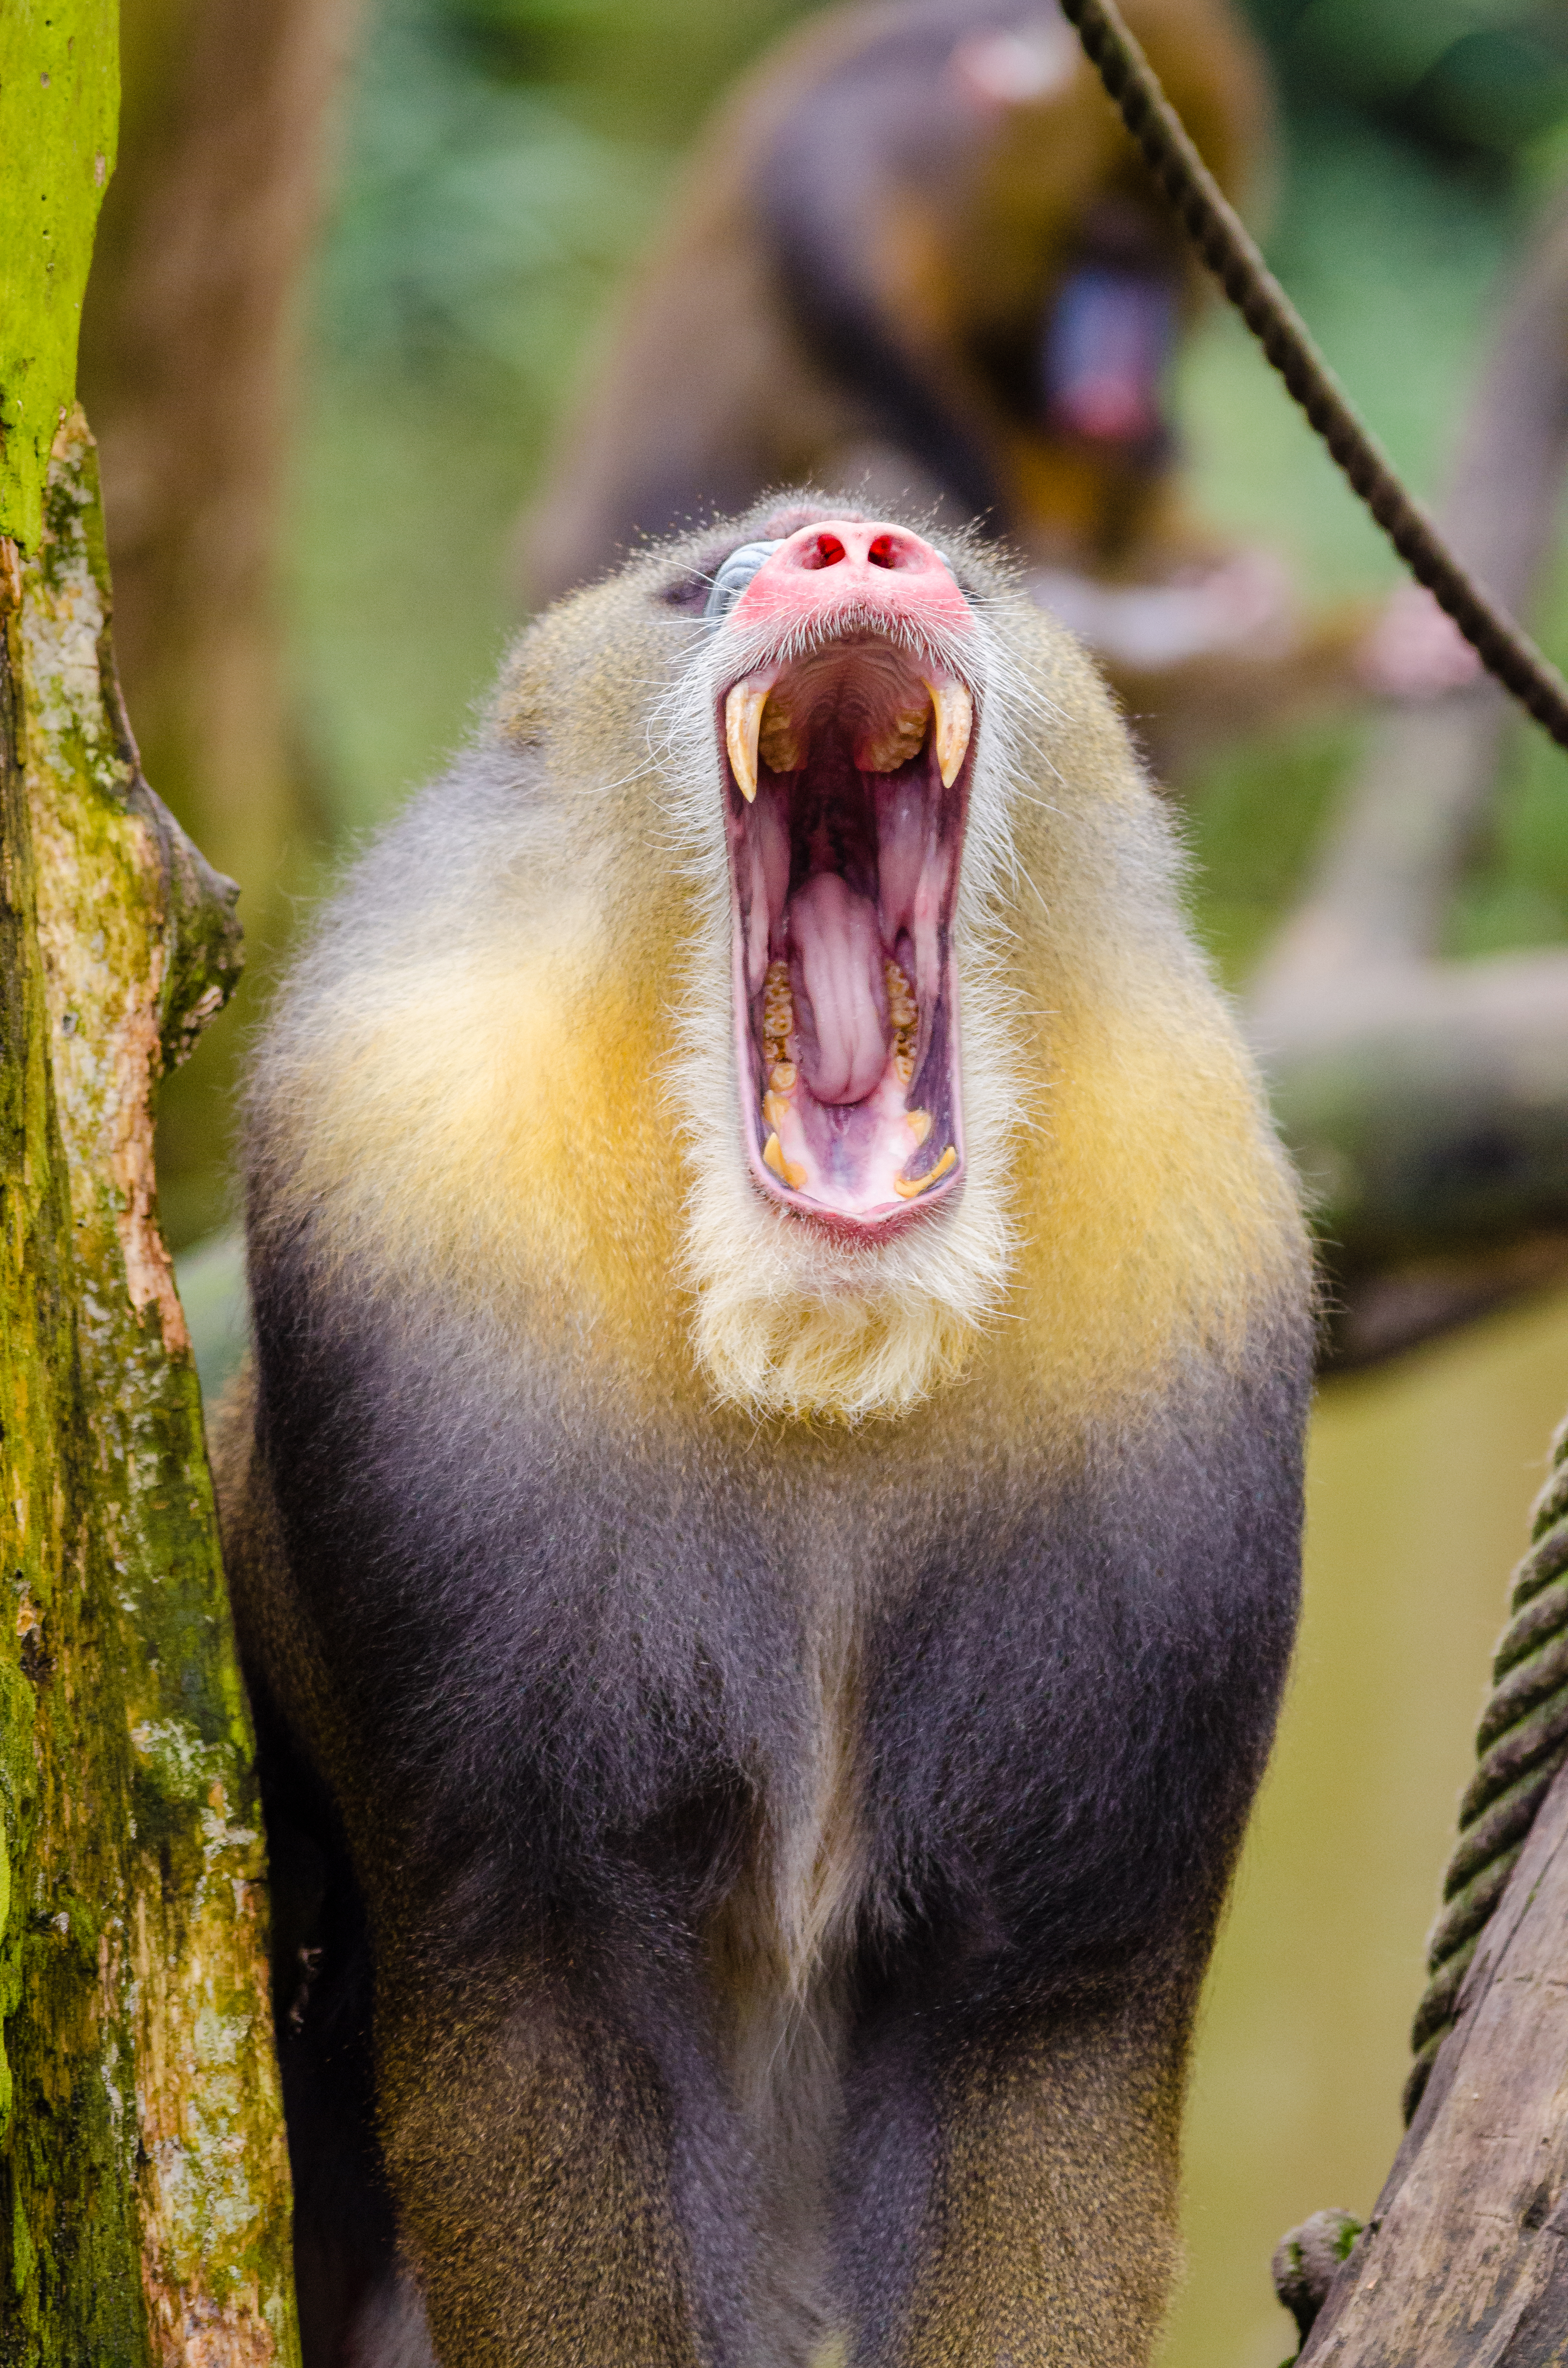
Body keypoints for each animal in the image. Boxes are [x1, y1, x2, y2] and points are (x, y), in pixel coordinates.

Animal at [215, 499, 1313, 2368]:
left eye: (966, 573)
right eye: (694, 584)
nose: (852, 542)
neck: (824, 1352)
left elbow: (1038, 2026)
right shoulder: (407, 1227)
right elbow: (541, 2011)